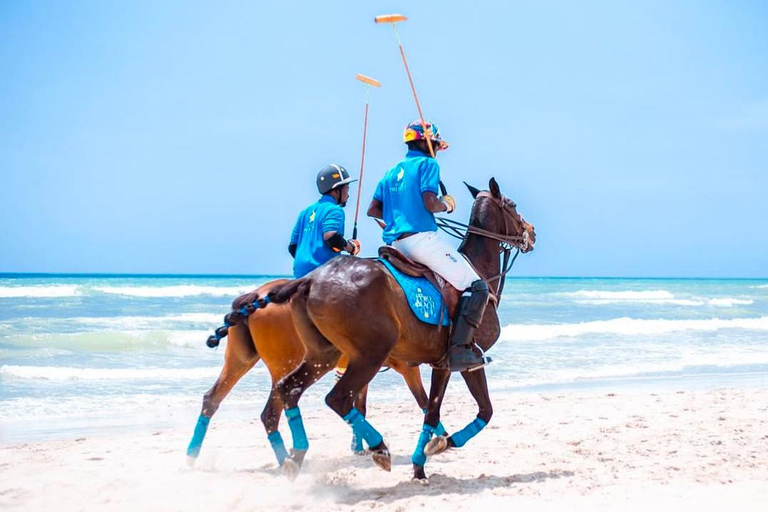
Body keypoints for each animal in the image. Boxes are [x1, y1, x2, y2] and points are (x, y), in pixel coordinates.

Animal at [184, 278, 438, 466]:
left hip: (240, 360)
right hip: (284, 366)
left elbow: (360, 406)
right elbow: (423, 401)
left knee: (212, 399)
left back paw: (191, 457)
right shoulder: (403, 367)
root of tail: (255, 296)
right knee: (271, 412)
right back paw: (287, 460)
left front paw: (359, 447)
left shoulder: (367, 367)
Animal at [268, 178, 536, 482]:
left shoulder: (448, 363)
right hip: (369, 355)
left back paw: (295, 458)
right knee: (338, 398)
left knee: (289, 388)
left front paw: (427, 457)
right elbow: (464, 411)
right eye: (512, 205)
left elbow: (454, 410)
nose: (531, 232)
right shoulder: (463, 361)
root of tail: (310, 280)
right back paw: (378, 448)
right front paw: (437, 448)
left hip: (322, 354)